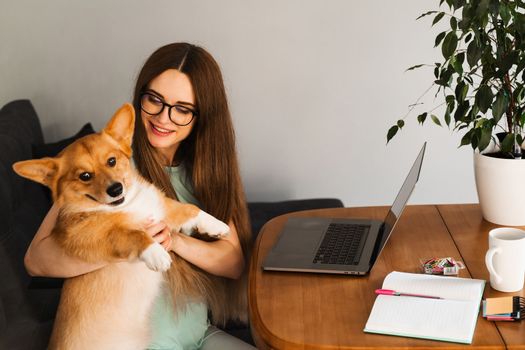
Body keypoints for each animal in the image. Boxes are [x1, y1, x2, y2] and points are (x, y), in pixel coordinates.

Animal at [12, 104, 228, 350]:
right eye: (84, 176)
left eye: (112, 161)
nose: (116, 189)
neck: (128, 206)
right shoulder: (92, 237)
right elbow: (131, 234)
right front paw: (155, 252)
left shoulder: (160, 207)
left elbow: (190, 209)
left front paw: (217, 225)